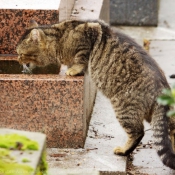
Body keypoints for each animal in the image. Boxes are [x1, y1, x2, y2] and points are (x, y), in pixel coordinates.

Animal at [17, 19, 175, 170]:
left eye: (21, 53)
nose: (18, 60)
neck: (60, 39)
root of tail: (162, 89)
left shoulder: (88, 34)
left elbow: (81, 58)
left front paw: (73, 69)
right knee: (171, 128)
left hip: (124, 108)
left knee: (138, 133)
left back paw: (123, 150)